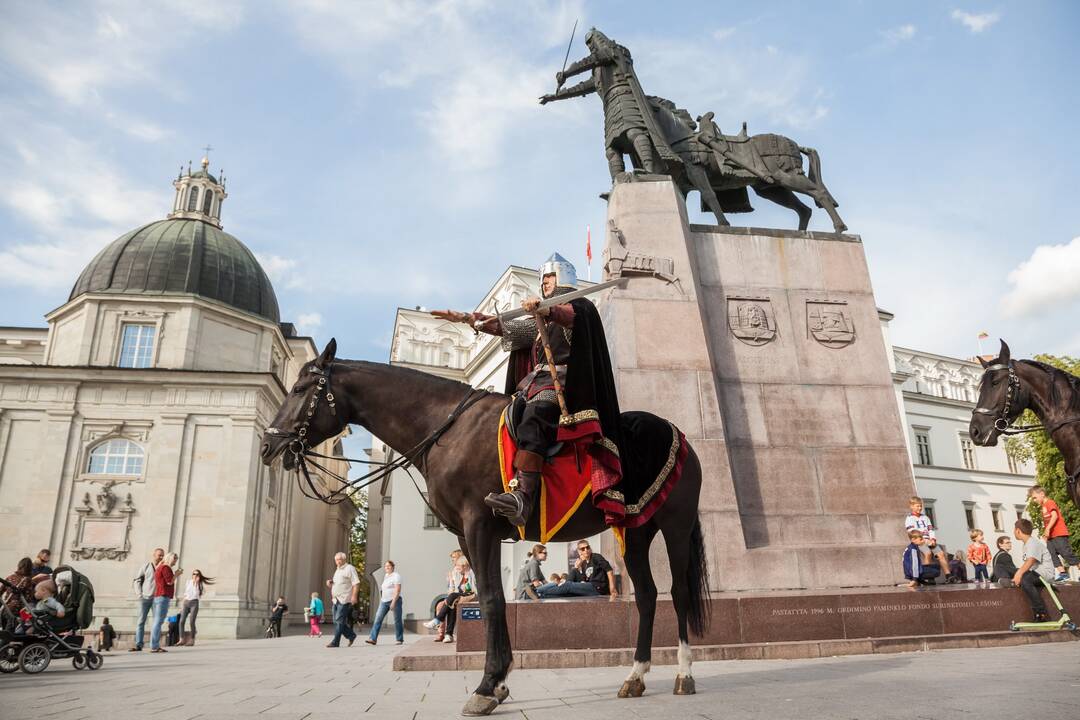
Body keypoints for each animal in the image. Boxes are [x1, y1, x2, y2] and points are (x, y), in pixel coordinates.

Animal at [258, 341, 712, 716]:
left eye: (300, 389)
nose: (267, 445)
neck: (447, 431)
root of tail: (679, 434)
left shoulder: (480, 526)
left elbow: (492, 599)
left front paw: (487, 685)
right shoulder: (466, 533)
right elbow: (490, 594)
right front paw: (498, 683)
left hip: (674, 525)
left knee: (678, 592)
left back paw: (684, 674)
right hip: (634, 530)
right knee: (648, 596)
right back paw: (635, 676)